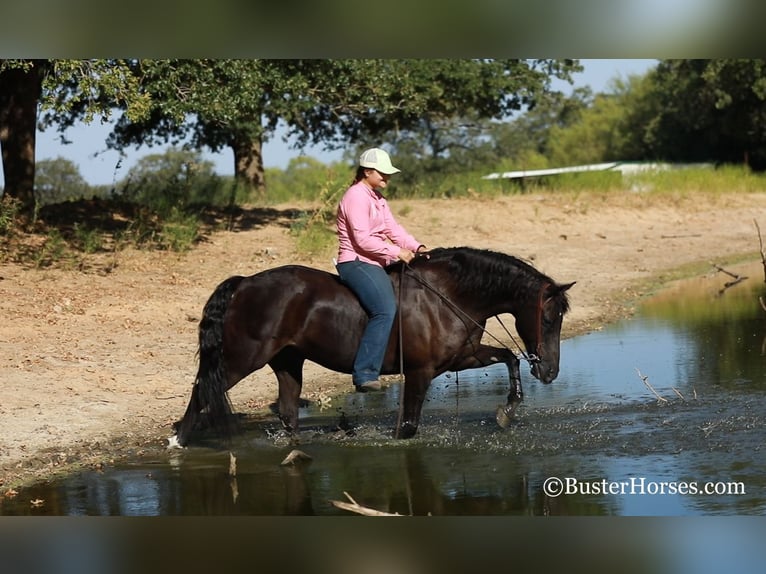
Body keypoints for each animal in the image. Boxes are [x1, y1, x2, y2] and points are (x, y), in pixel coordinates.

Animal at [171, 245, 572, 448]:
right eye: (548, 319)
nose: (550, 372)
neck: (448, 295)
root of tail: (244, 284)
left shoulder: (461, 358)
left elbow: (509, 358)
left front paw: (507, 411)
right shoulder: (421, 371)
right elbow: (407, 427)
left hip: (288, 362)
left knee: (287, 411)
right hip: (242, 359)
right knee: (203, 389)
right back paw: (179, 443)